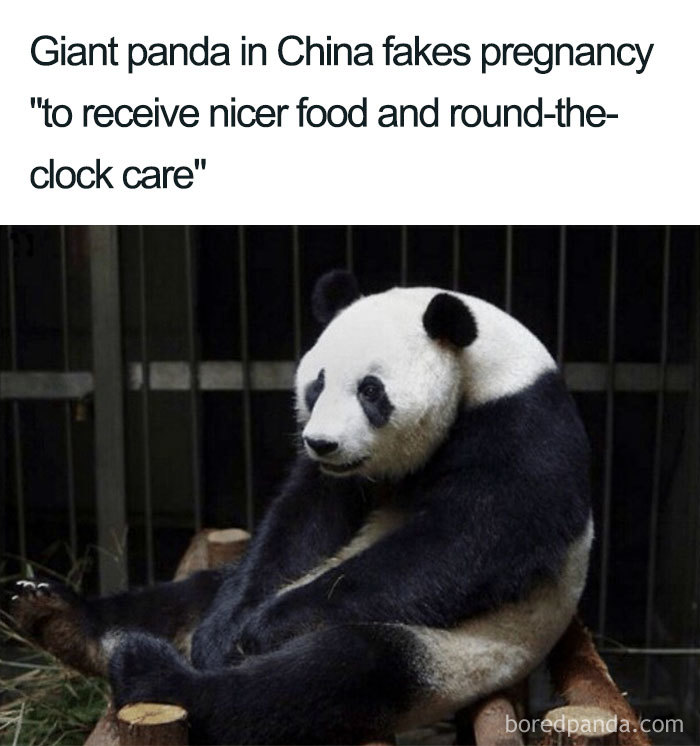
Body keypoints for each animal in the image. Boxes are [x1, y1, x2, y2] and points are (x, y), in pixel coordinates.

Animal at [9, 270, 592, 745]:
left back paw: (153, 673)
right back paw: (58, 616)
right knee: (190, 595)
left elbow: (470, 542)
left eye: (371, 390)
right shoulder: (336, 484)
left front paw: (263, 629)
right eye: (318, 382)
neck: (484, 369)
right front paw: (224, 634)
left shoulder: (523, 428)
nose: (322, 444)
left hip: (461, 653)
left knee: (333, 675)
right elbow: (301, 523)